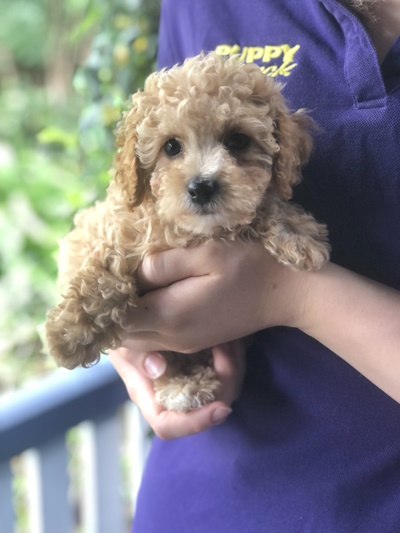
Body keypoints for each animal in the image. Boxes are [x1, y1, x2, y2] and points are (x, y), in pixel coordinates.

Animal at [45, 52, 330, 412]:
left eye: (238, 140)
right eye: (171, 147)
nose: (201, 187)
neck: (188, 231)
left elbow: (260, 208)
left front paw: (296, 232)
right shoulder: (116, 233)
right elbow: (104, 276)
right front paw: (69, 331)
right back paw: (180, 383)